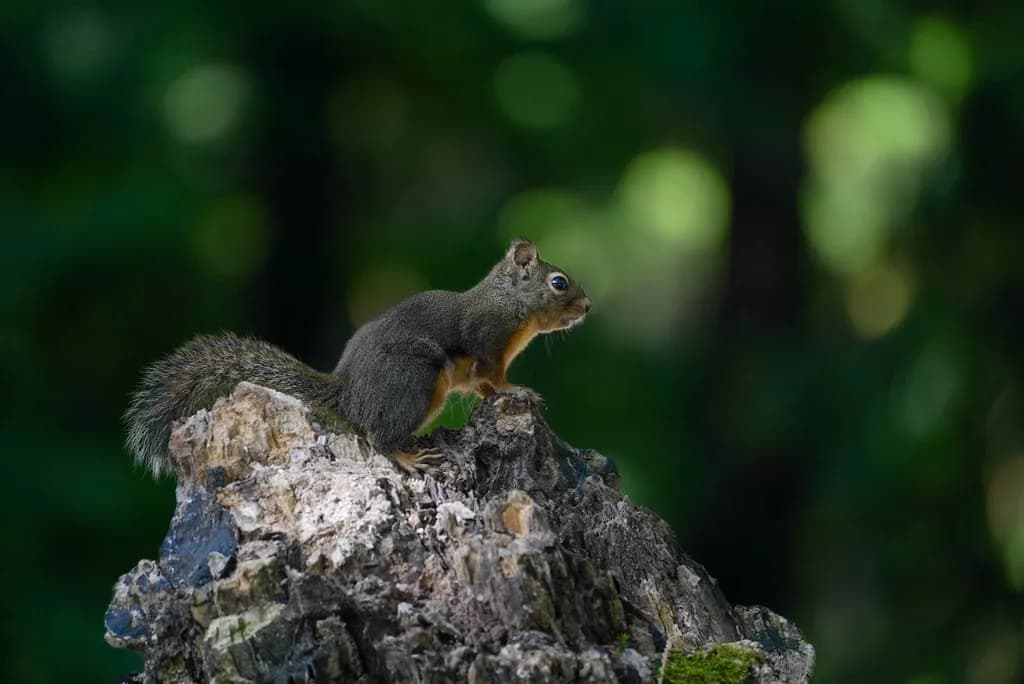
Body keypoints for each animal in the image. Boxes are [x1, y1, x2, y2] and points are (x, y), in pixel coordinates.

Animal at [125, 239, 591, 477]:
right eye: (558, 282)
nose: (587, 307)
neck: (511, 303)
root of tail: (349, 395)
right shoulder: (487, 341)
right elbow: (494, 379)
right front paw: (518, 390)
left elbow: (482, 388)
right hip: (415, 384)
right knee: (379, 439)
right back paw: (407, 457)